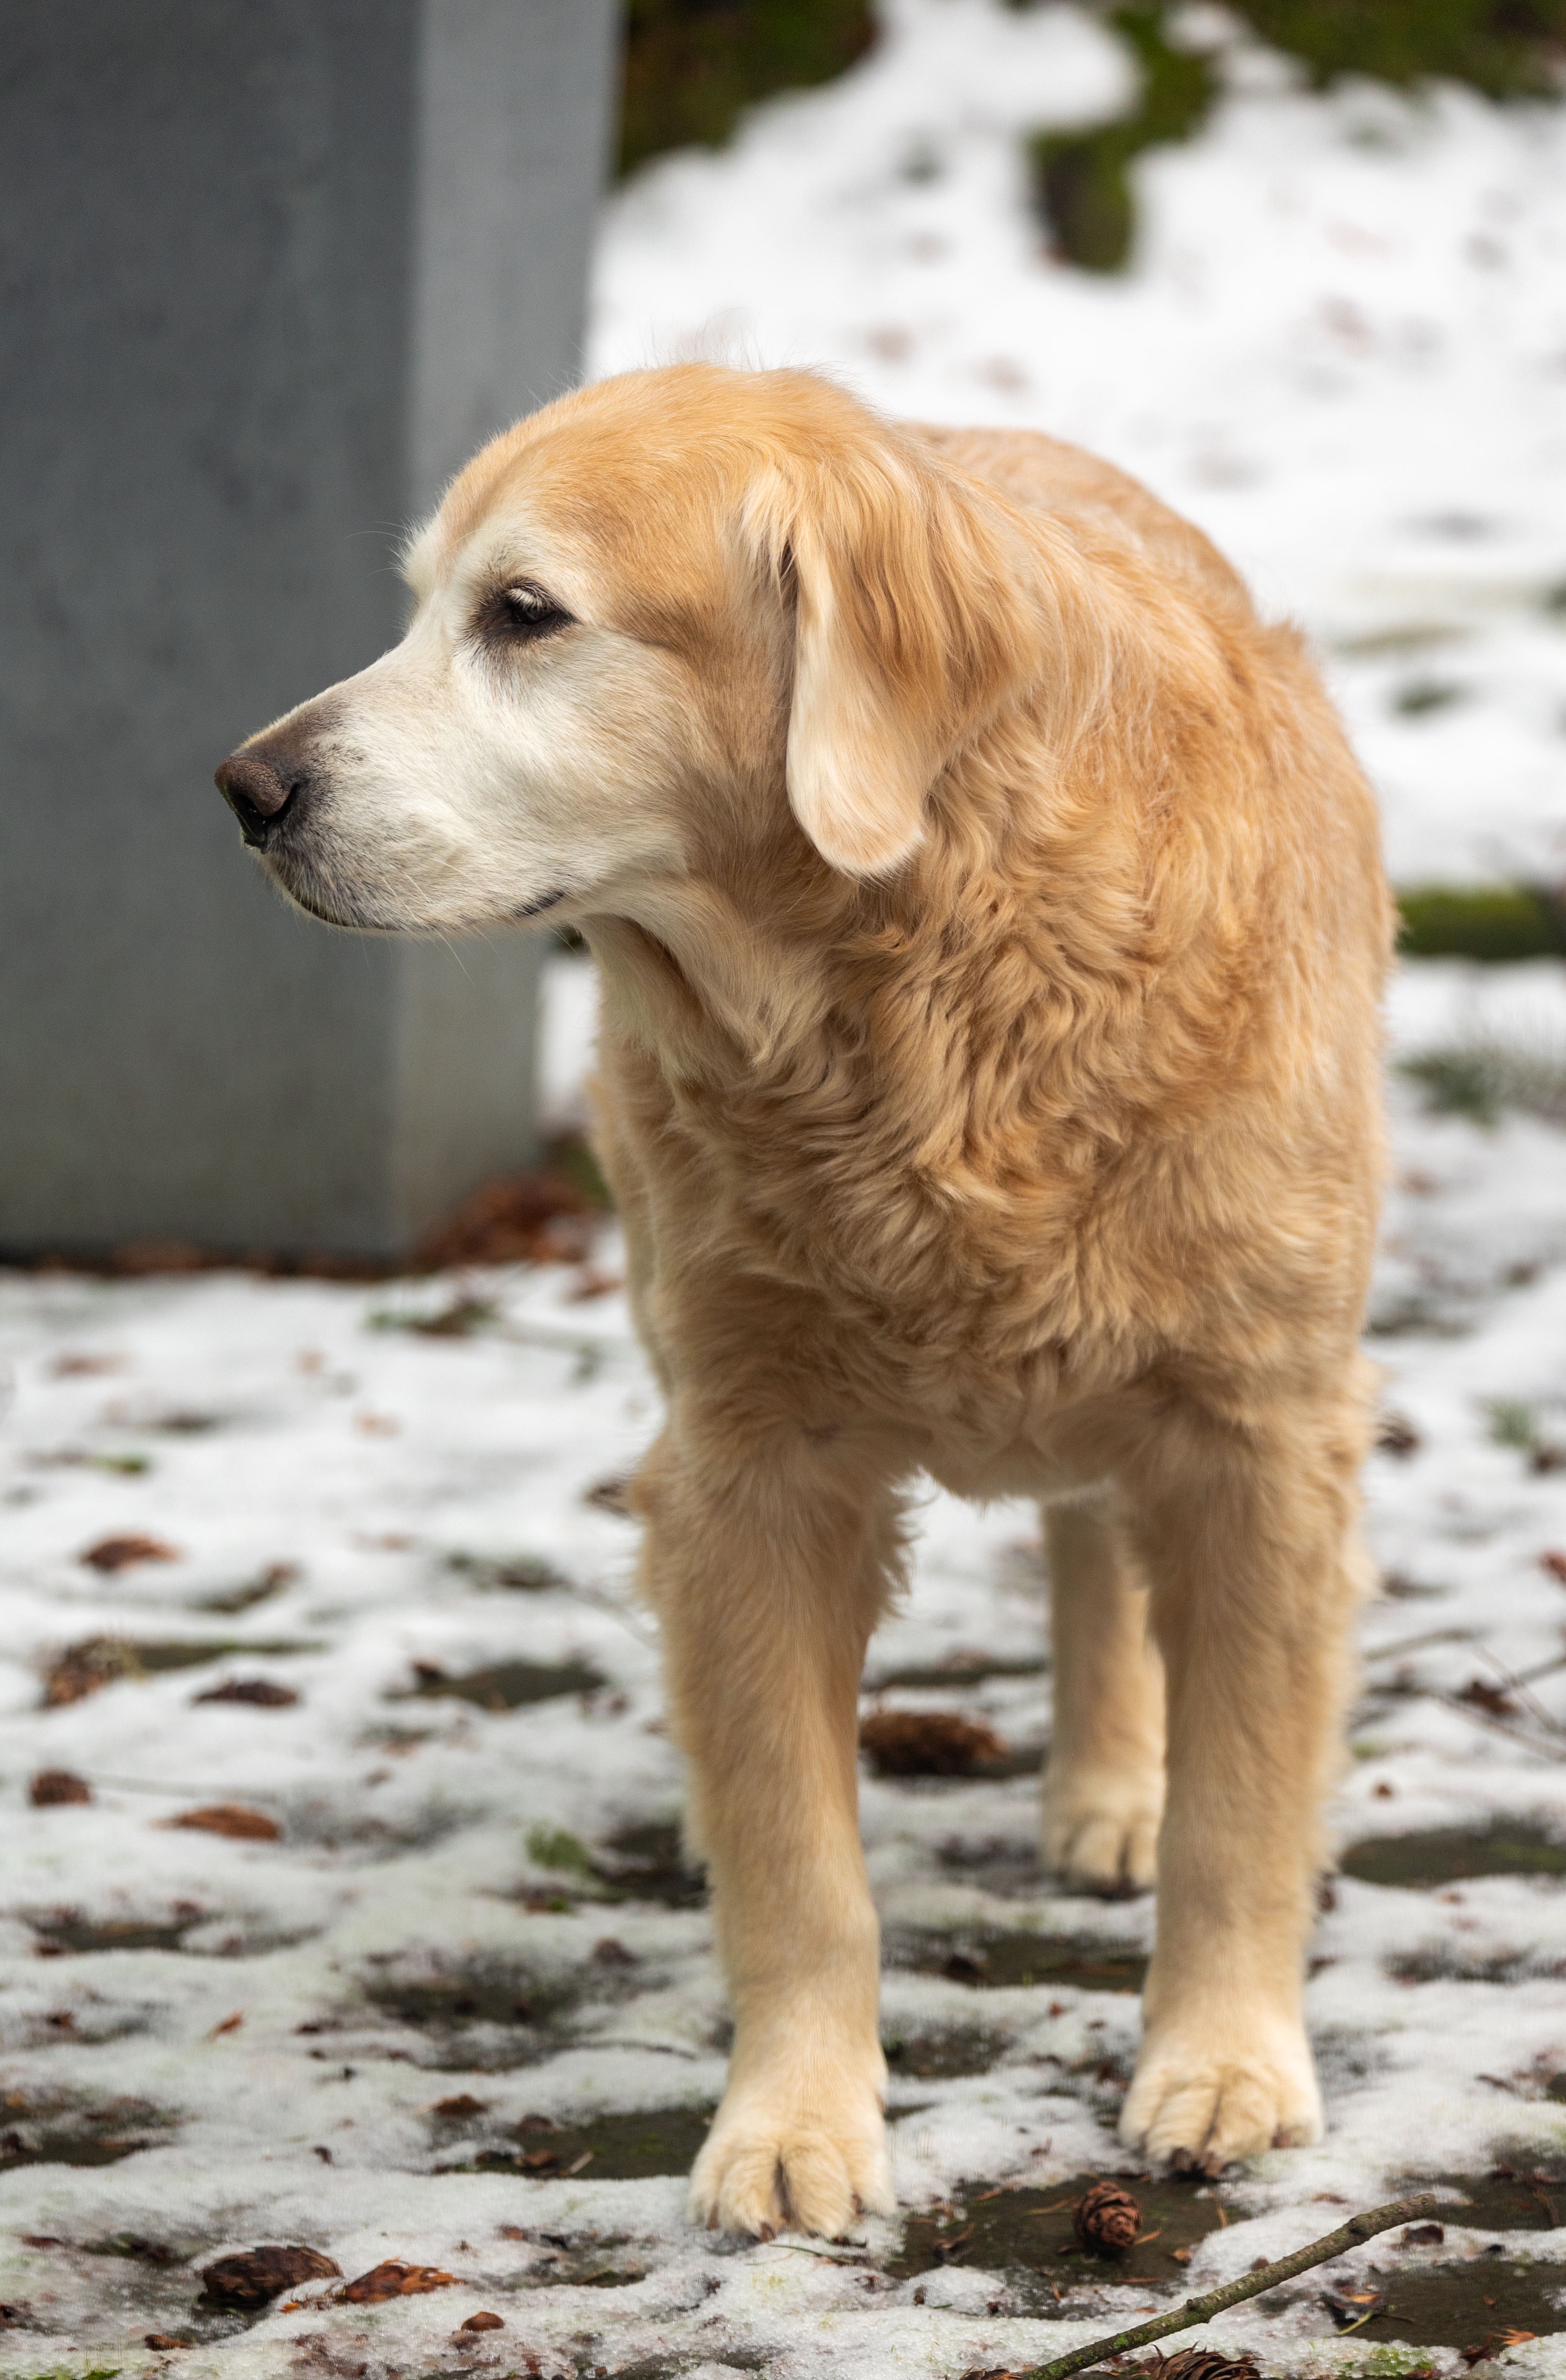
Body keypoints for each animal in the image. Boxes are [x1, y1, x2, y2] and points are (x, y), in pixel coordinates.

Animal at [213, 361, 1380, 2237]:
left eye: (521, 614)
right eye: (417, 604)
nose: (247, 787)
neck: (910, 1008)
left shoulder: (1265, 1428)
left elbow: (1238, 1811)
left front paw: (1221, 2063)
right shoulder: (741, 1468)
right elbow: (796, 1856)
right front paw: (792, 2120)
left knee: (1094, 1547)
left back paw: (1109, 1786)